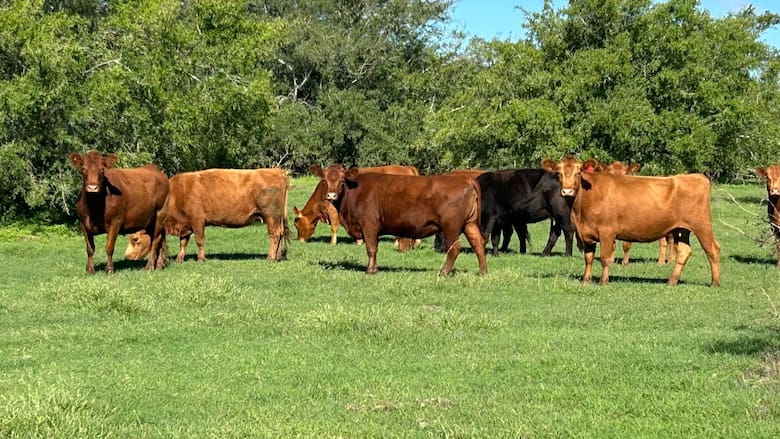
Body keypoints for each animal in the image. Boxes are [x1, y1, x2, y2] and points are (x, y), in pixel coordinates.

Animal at [125, 168, 289, 263]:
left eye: (135, 239)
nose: (127, 256)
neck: (176, 194)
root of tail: (276, 171)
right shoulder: (185, 224)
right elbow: (183, 242)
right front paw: (179, 259)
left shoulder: (197, 221)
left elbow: (199, 240)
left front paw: (201, 259)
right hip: (276, 219)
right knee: (280, 234)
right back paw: (278, 256)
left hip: (270, 217)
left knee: (274, 235)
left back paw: (270, 257)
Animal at [311, 164, 487, 275]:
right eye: (324, 180)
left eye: (341, 181)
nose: (331, 196)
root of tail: (465, 179)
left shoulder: (369, 225)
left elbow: (371, 249)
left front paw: (370, 270)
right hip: (470, 224)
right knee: (478, 244)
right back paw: (483, 271)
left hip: (451, 226)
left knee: (455, 248)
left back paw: (444, 272)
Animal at [541, 156, 720, 286]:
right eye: (558, 173)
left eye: (578, 173)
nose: (567, 191)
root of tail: (695, 176)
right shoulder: (587, 233)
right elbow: (589, 258)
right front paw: (586, 280)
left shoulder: (607, 231)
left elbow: (605, 258)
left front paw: (603, 282)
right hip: (682, 229)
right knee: (684, 251)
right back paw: (672, 281)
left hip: (702, 225)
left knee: (712, 249)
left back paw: (715, 282)